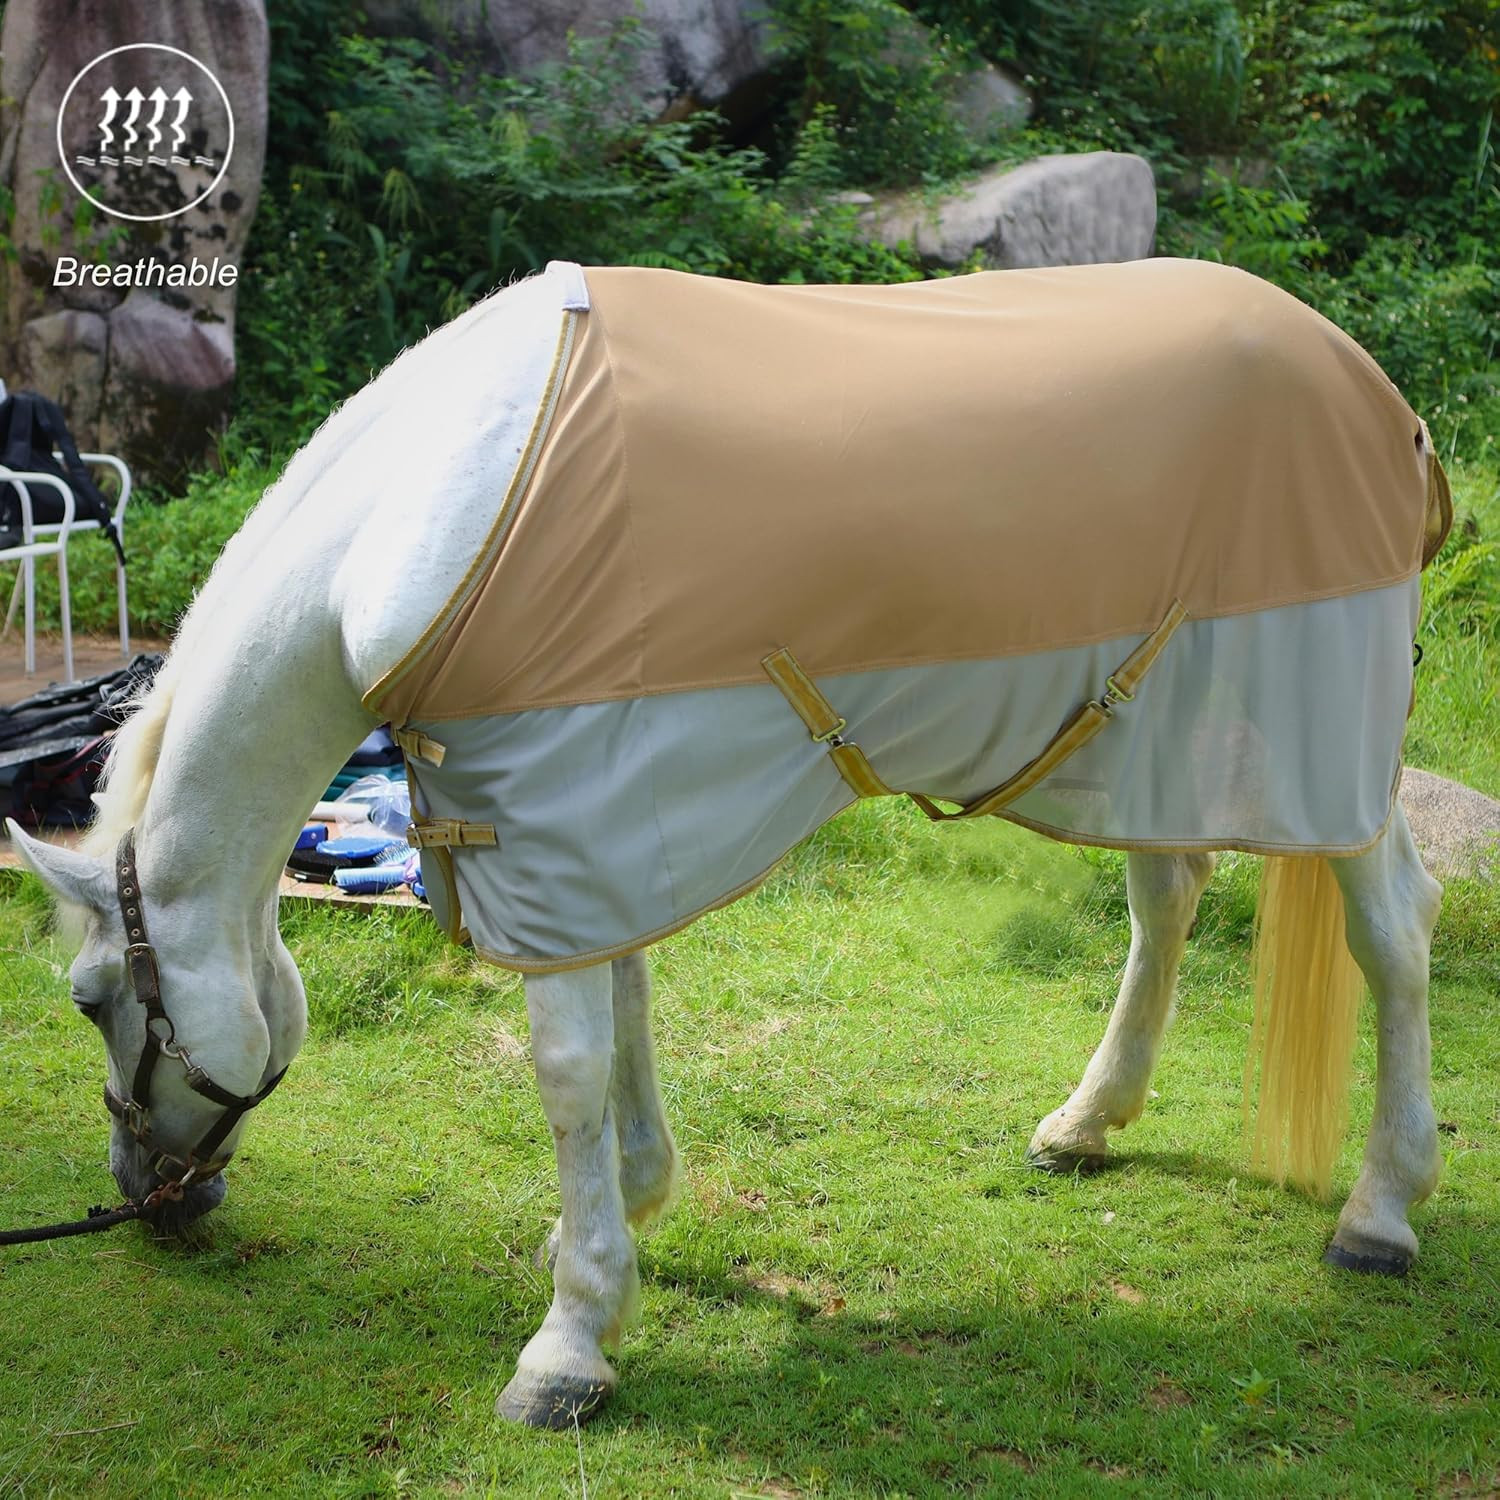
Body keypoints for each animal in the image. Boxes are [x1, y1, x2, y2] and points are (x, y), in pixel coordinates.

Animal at [6, 256, 1453, 1430]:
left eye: (88, 997)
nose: (149, 1198)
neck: (426, 516)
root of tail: (1382, 401)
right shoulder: (591, 814)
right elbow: (626, 1017)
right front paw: (627, 1220)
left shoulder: (559, 808)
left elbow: (568, 1070)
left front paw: (569, 1344)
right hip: (1158, 742)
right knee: (1170, 896)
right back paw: (1087, 1123)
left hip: (1323, 743)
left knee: (1393, 931)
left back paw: (1381, 1212)